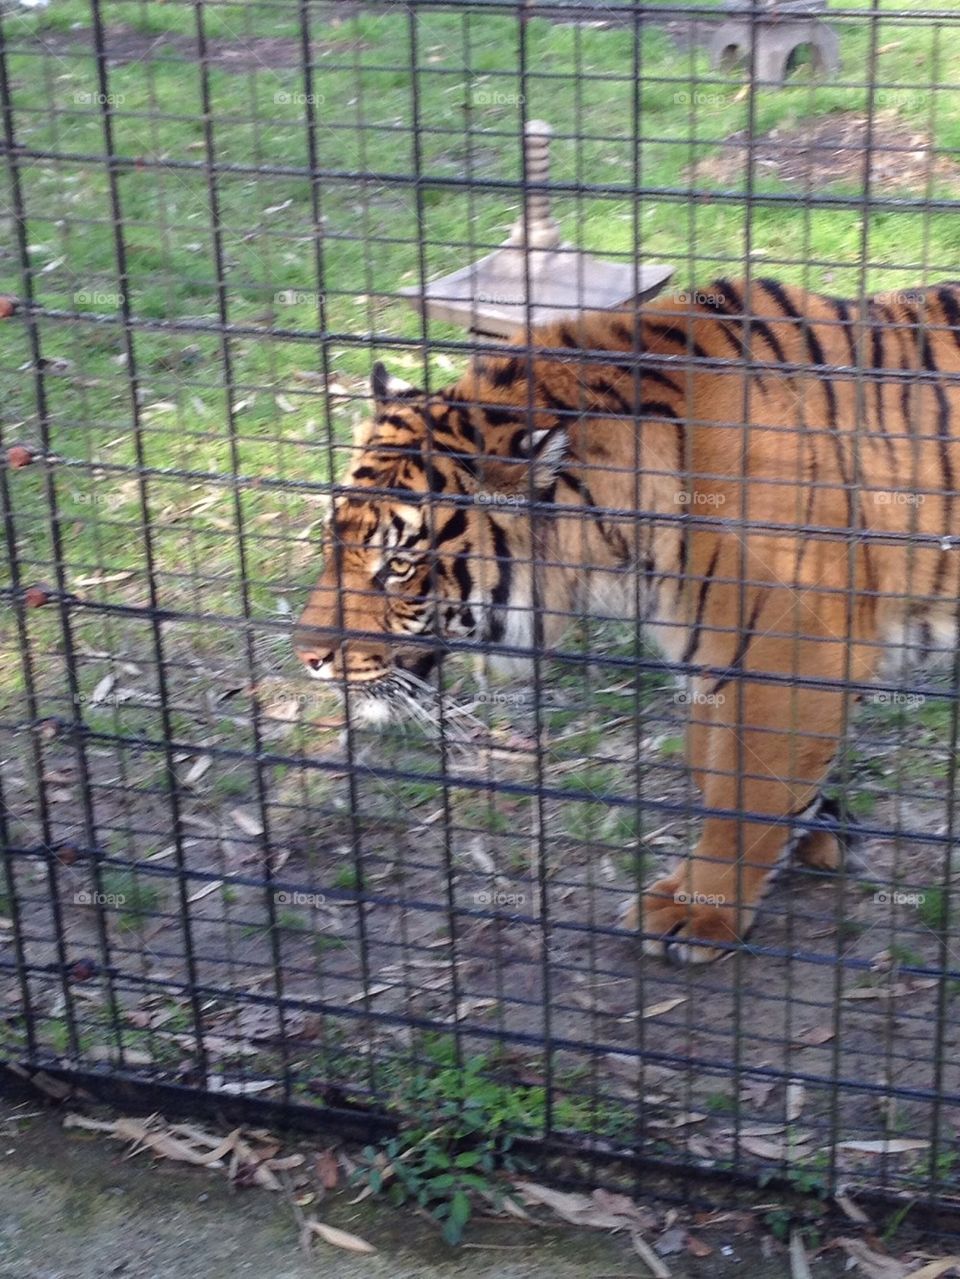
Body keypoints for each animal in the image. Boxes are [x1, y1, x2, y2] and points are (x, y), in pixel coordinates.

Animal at [293, 277, 960, 963]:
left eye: (398, 566)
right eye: (333, 540)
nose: (306, 655)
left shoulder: (791, 651)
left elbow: (747, 789)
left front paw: (699, 910)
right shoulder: (713, 652)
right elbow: (712, 762)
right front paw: (818, 827)